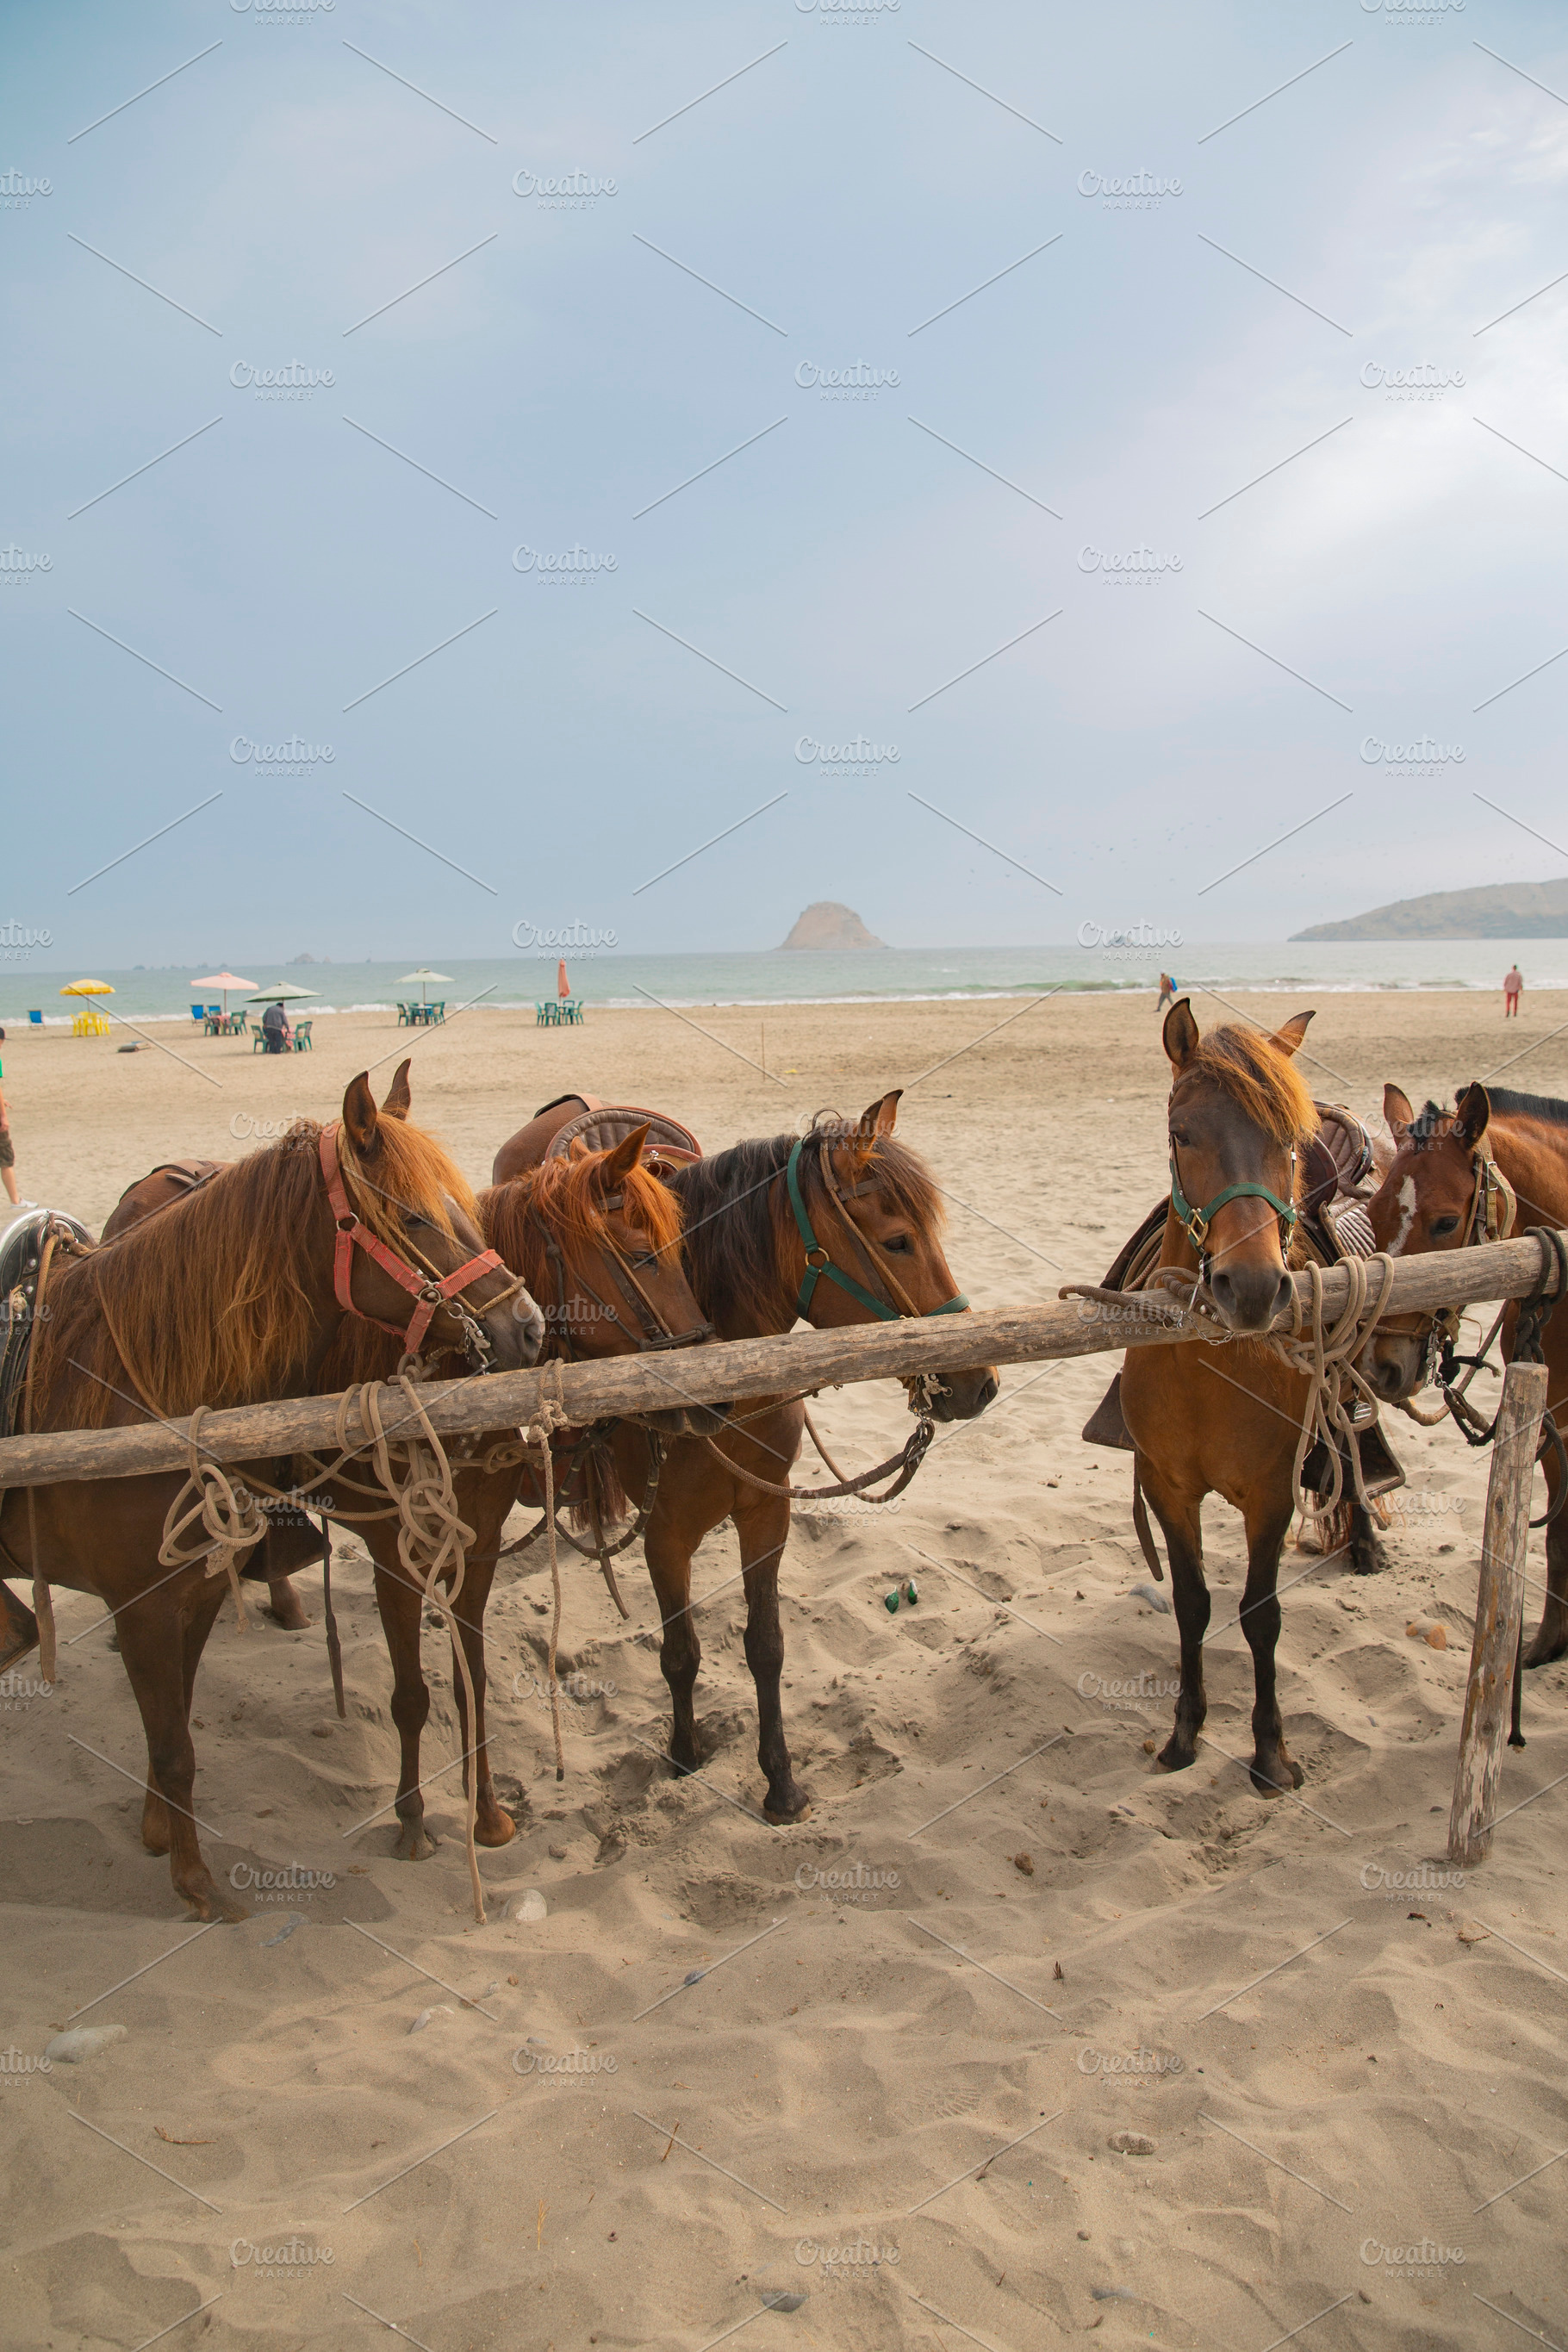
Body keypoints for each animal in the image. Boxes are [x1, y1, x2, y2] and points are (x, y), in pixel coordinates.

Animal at [0, 1072, 542, 1921]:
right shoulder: (158, 1598)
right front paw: (200, 1887)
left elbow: (467, 1678)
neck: (125, 1388)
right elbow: (179, 1744)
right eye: (413, 1217)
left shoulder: (197, 1589)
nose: (529, 1327)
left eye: (467, 1209)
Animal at [316, 1115, 714, 1859]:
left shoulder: (476, 1544)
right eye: (643, 1257)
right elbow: (410, 1694)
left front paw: (488, 1815)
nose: (710, 1399)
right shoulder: (393, 1556)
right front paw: (412, 1821)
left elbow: (468, 1676)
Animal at [1118, 1001, 1342, 1797]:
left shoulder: (1272, 1493)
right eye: (1182, 1134)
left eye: (1290, 1140)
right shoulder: (1167, 1486)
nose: (1249, 1288)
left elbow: (1260, 1614)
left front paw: (1270, 1750)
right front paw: (1185, 1731)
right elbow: (1192, 1605)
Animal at [1361, 1082, 1568, 1666]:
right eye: (1374, 1212)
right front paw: (1546, 1644)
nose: (1381, 1366)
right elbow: (1558, 1534)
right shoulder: (1553, 1422)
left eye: (1447, 1222)